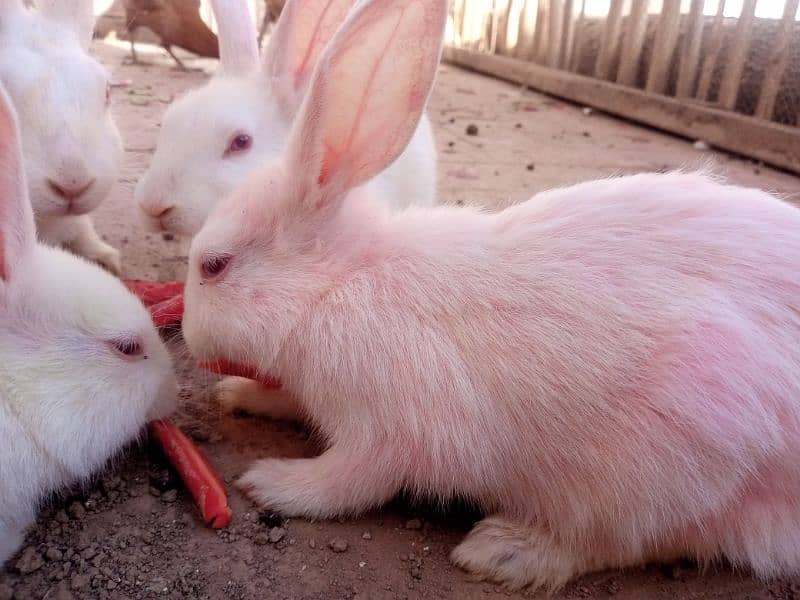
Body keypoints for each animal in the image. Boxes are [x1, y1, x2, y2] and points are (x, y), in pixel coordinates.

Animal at [184, 0, 800, 592]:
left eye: (214, 266)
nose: (188, 336)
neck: (337, 284)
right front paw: (240, 394)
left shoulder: (388, 432)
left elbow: (348, 483)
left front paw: (271, 482)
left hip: (665, 463)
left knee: (631, 542)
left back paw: (503, 551)